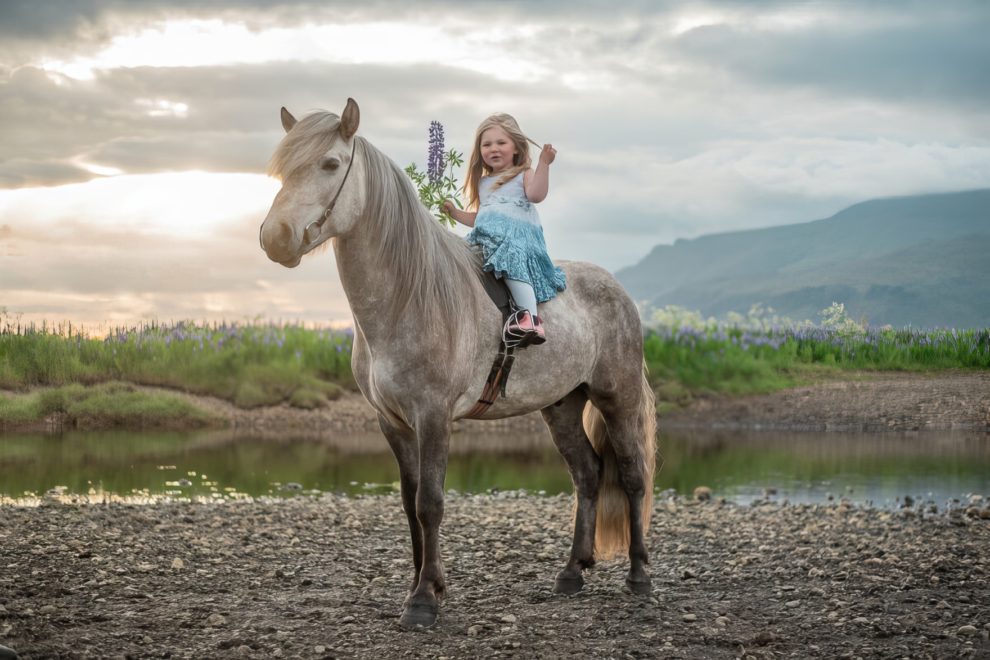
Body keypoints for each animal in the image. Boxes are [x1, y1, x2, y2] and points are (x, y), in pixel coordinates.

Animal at [260, 98, 660, 628]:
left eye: (329, 164)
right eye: (283, 168)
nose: (275, 238)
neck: (406, 296)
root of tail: (616, 288)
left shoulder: (433, 416)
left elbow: (430, 503)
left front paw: (424, 600)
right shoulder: (393, 422)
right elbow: (409, 503)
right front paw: (421, 584)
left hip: (617, 397)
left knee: (633, 475)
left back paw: (639, 576)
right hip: (561, 405)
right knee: (588, 474)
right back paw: (572, 573)